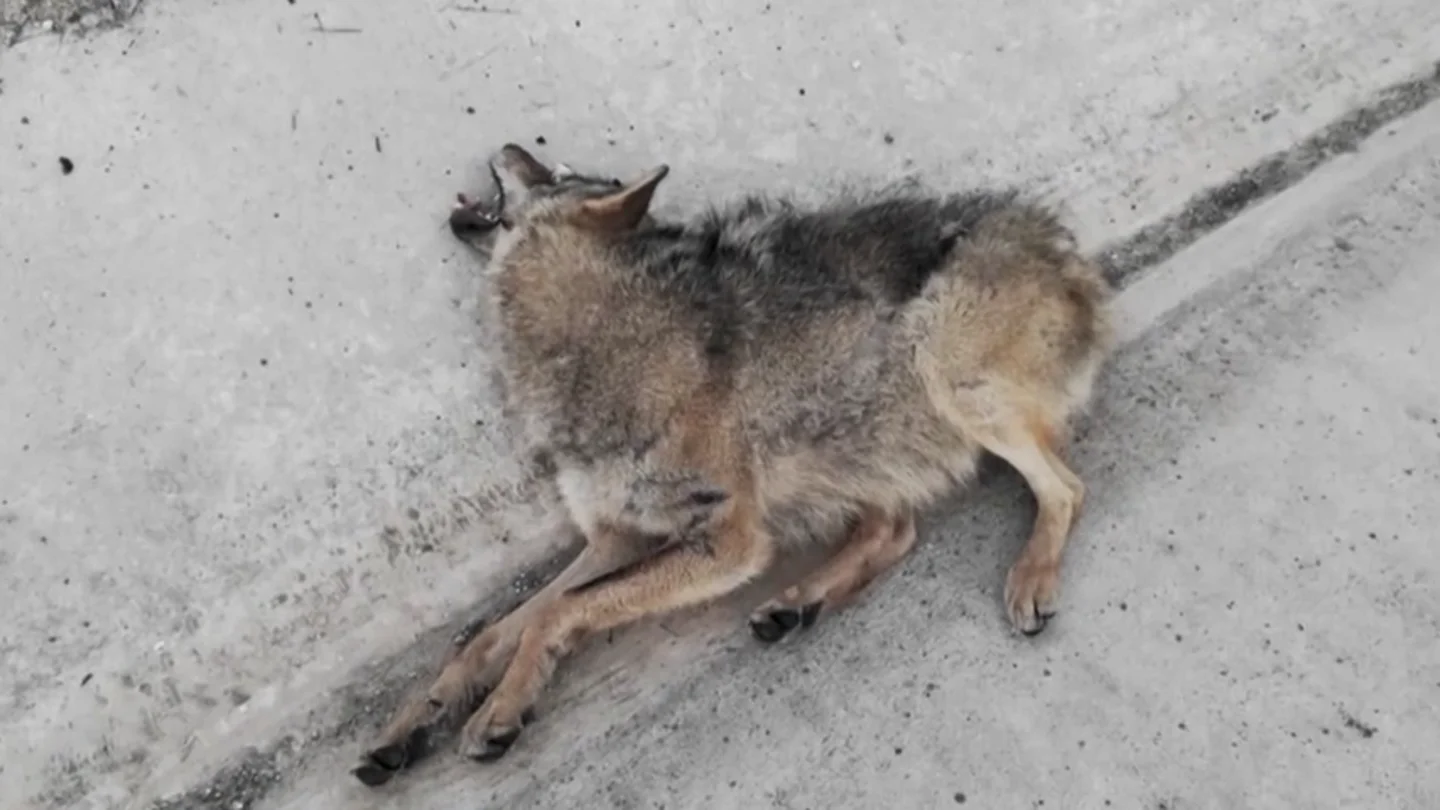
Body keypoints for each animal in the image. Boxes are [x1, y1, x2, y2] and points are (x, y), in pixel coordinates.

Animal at [354, 144, 1114, 785]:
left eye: (554, 170)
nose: (510, 145)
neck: (596, 337)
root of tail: (1069, 250)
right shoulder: (614, 537)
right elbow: (489, 634)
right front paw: (413, 723)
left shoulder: (729, 541)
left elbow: (555, 614)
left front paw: (501, 711)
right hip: (853, 434)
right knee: (894, 531)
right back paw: (798, 603)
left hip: (937, 367)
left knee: (1066, 488)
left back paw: (1029, 578)